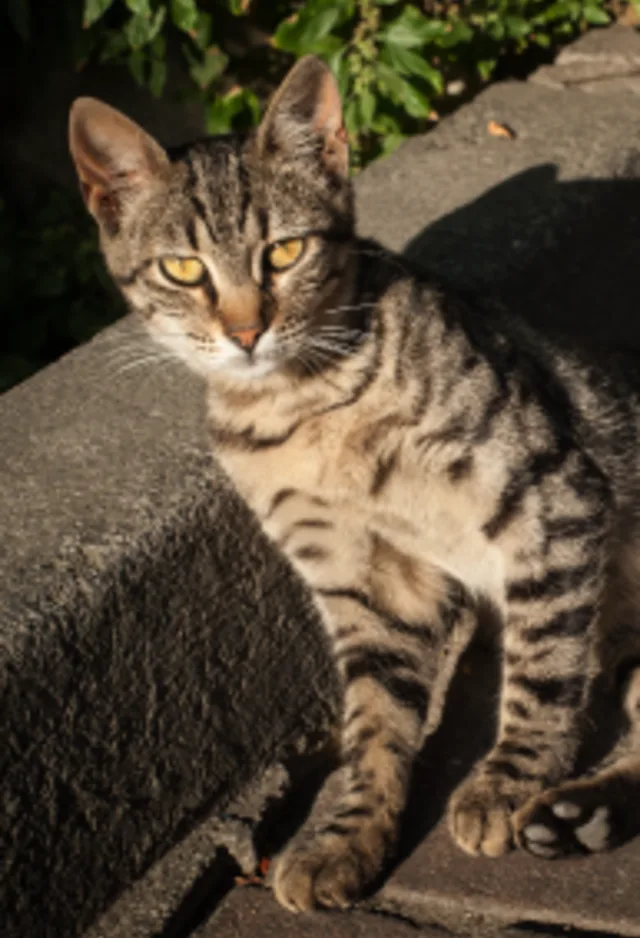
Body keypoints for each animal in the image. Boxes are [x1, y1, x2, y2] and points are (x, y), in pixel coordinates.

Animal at [67, 56, 640, 908]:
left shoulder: (552, 494)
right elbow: (373, 723)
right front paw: (347, 835)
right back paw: (582, 817)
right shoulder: (362, 582)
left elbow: (542, 664)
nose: (247, 331)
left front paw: (505, 780)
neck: (302, 408)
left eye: (284, 253)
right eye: (183, 269)